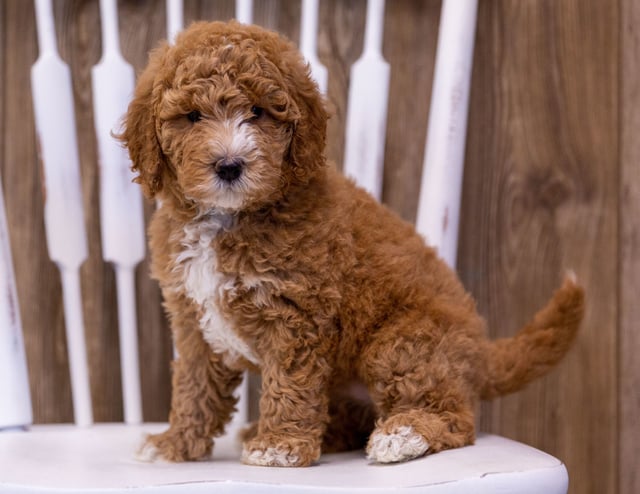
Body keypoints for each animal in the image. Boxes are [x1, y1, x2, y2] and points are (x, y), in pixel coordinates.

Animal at [120, 20, 584, 466]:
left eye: (258, 112)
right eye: (192, 117)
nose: (230, 165)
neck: (227, 217)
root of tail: (482, 353)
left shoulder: (296, 313)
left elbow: (289, 381)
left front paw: (280, 446)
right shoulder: (192, 318)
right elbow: (194, 384)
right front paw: (176, 442)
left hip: (403, 345)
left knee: (454, 416)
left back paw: (403, 435)